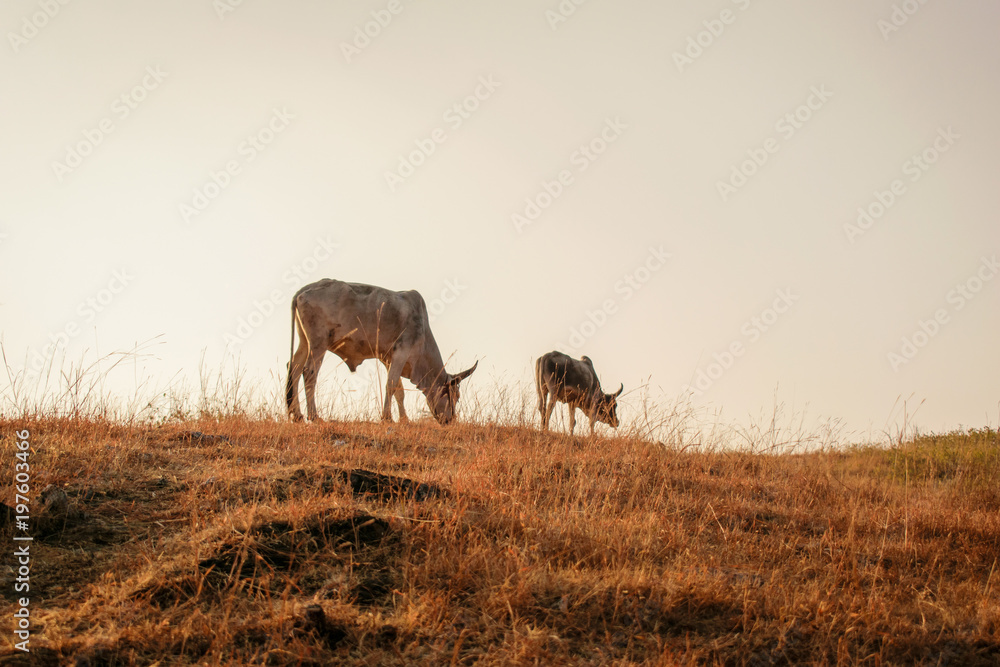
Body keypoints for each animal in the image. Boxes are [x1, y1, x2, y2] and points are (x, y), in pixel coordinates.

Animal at [286, 279, 477, 424]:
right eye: (455, 396)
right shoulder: (401, 352)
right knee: (309, 372)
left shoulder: (388, 358)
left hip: (305, 342)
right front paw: (387, 418)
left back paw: (297, 415)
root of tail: (304, 290)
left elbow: (399, 391)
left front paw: (404, 419)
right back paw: (314, 416)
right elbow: (391, 385)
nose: (450, 420)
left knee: (294, 368)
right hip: (318, 343)